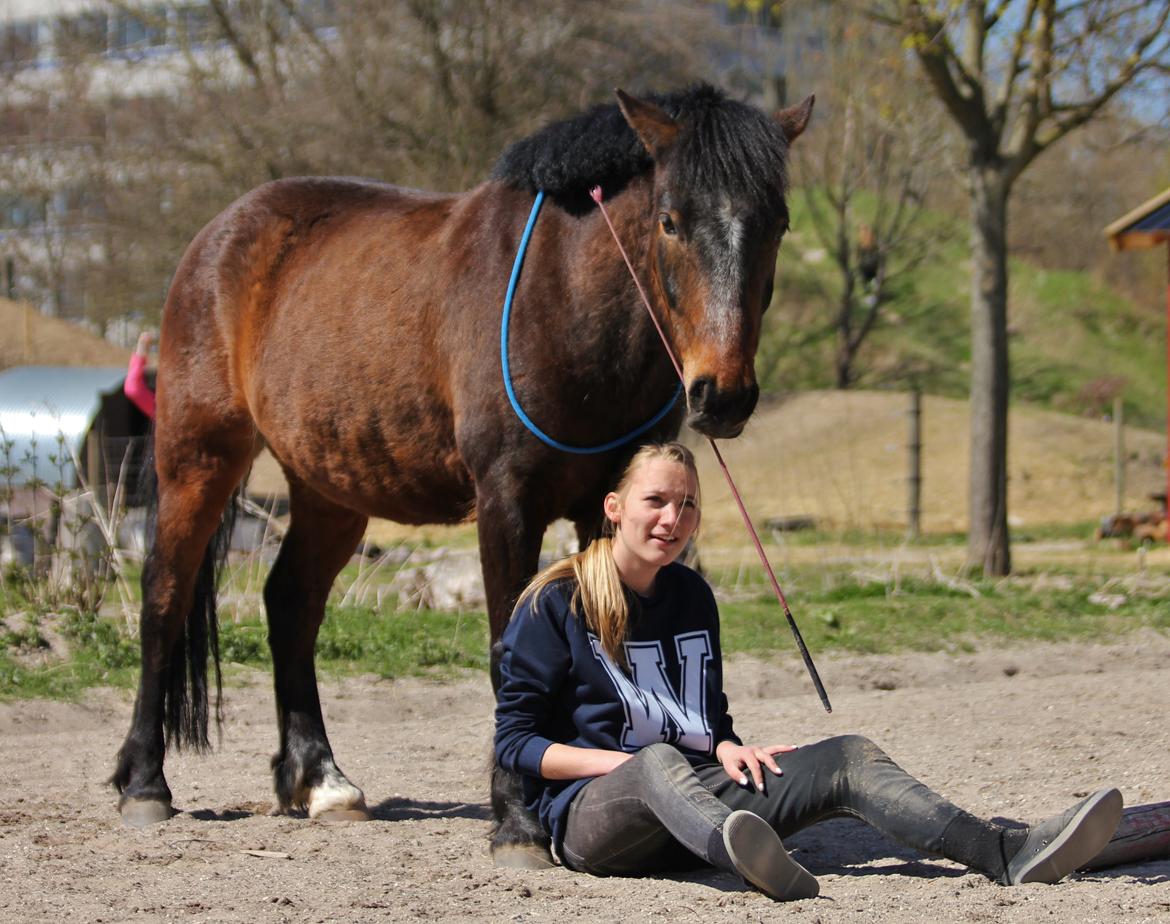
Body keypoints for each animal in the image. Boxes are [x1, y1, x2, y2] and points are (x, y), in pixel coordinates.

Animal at [109, 83, 814, 870]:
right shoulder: (506, 502)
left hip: (327, 488)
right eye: (670, 219)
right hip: (198, 456)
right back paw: (145, 783)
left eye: (778, 223)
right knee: (164, 595)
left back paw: (320, 779)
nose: (723, 395)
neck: (560, 295)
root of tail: (220, 234)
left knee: (290, 603)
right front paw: (516, 821)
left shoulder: (604, 508)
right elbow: (509, 653)